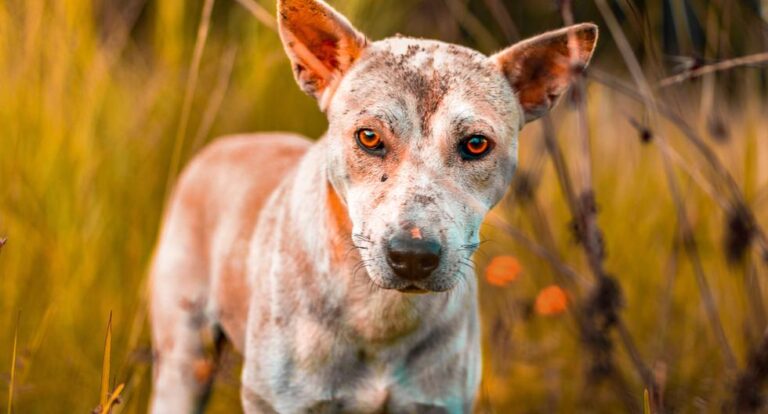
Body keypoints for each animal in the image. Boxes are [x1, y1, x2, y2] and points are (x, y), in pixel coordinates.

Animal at [147, 0, 596, 410]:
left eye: (475, 144)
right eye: (368, 137)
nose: (413, 255)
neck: (380, 312)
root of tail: (227, 144)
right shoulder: (278, 400)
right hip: (183, 361)